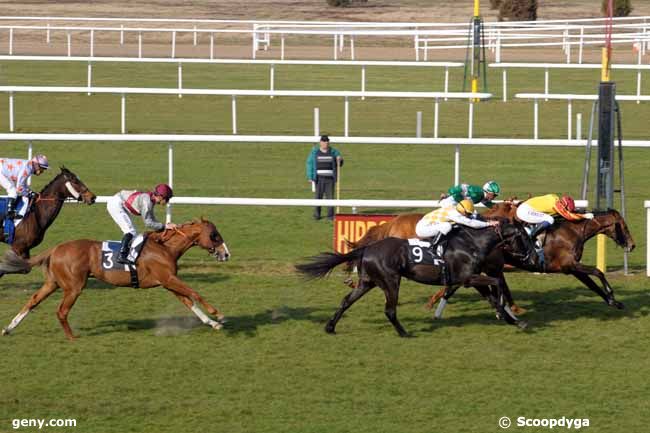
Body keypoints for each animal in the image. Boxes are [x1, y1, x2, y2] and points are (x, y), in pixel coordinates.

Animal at [0, 218, 232, 340]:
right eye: (215, 235)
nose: (226, 254)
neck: (165, 247)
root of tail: (56, 248)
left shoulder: (168, 282)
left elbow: (189, 302)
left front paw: (212, 323)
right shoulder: (168, 278)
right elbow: (194, 293)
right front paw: (218, 315)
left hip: (53, 283)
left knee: (32, 301)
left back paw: (9, 328)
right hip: (74, 287)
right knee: (61, 311)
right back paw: (72, 337)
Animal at [296, 221, 536, 336]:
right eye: (523, 237)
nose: (533, 256)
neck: (472, 243)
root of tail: (367, 249)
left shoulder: (470, 280)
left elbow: (493, 297)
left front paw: (515, 321)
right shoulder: (468, 278)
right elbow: (497, 284)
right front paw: (506, 313)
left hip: (368, 281)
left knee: (346, 300)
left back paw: (330, 327)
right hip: (390, 281)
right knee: (389, 310)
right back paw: (404, 333)